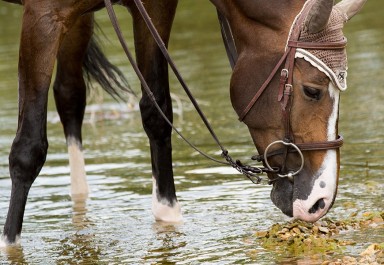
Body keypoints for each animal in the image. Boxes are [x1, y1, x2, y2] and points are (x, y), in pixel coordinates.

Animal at [0, 0, 366, 245]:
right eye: (312, 90)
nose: (320, 202)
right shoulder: (43, 16)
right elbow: (28, 149)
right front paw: (9, 244)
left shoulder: (152, 9)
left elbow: (156, 113)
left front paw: (169, 220)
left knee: (70, 95)